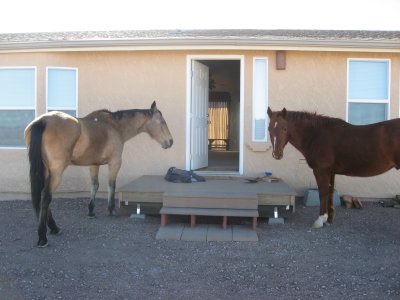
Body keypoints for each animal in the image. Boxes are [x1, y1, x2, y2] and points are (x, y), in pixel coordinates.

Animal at [25, 101, 173, 246]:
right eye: (162, 122)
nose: (170, 142)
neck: (115, 126)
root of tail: (42, 121)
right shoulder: (114, 163)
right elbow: (111, 186)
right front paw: (112, 210)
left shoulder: (93, 165)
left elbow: (94, 186)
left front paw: (91, 211)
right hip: (56, 173)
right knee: (46, 197)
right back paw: (44, 236)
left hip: (45, 171)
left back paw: (52, 228)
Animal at [268, 107, 400, 227]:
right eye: (269, 128)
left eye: (284, 128)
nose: (277, 154)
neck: (316, 135)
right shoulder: (331, 172)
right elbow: (330, 193)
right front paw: (329, 219)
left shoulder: (320, 171)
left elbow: (323, 193)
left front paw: (320, 220)